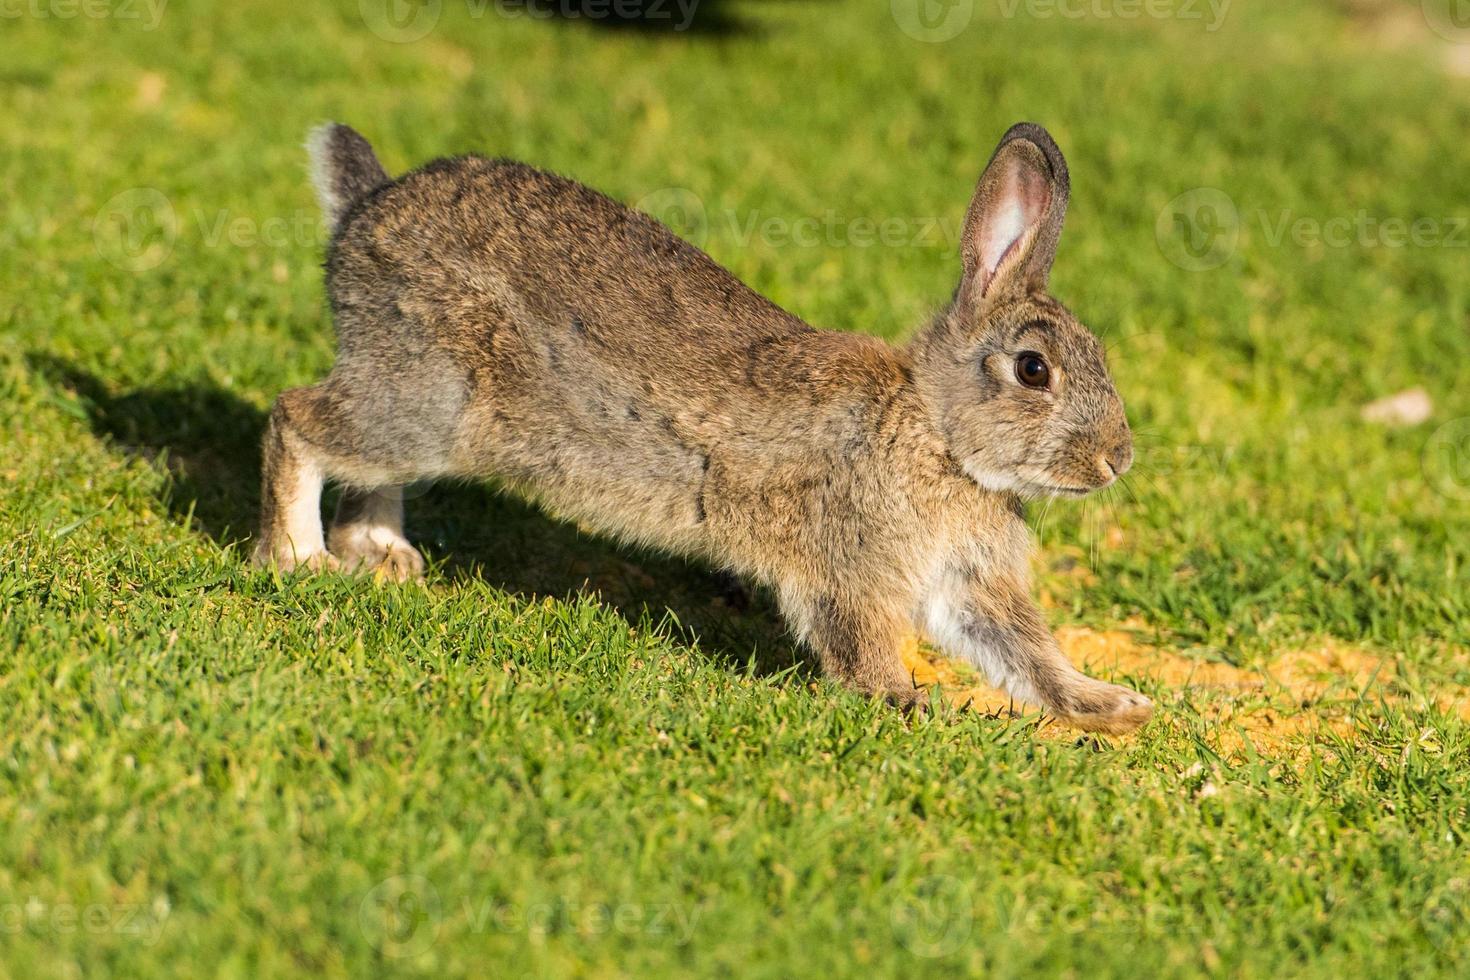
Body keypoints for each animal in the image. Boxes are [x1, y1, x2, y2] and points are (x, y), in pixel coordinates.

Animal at [258, 120, 1152, 734]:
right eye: (1033, 370)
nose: (1118, 460)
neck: (936, 433)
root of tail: (361, 218)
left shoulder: (969, 585)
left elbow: (1027, 657)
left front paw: (1115, 707)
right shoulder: (850, 563)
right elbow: (861, 638)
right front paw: (903, 702)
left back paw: (381, 555)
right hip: (428, 400)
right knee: (292, 420)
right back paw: (299, 557)